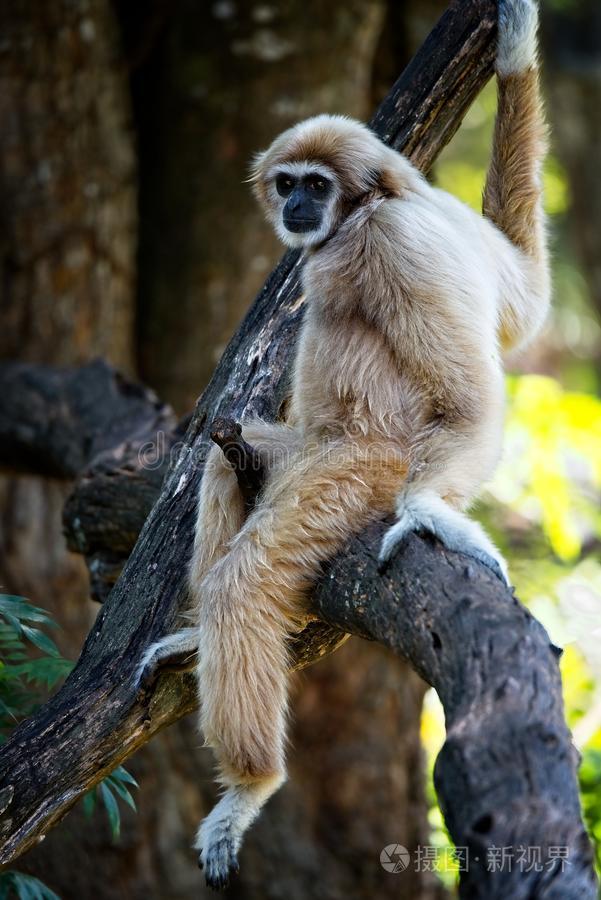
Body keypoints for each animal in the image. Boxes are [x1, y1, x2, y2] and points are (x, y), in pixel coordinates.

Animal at [138, 0, 549, 889]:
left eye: (317, 185)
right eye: (287, 183)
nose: (297, 204)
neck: (363, 214)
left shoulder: (397, 241)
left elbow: (470, 396)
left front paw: (430, 511)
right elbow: (522, 303)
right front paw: (511, 52)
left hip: (358, 469)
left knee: (246, 579)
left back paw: (251, 786)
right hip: (296, 452)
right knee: (224, 465)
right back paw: (196, 633)